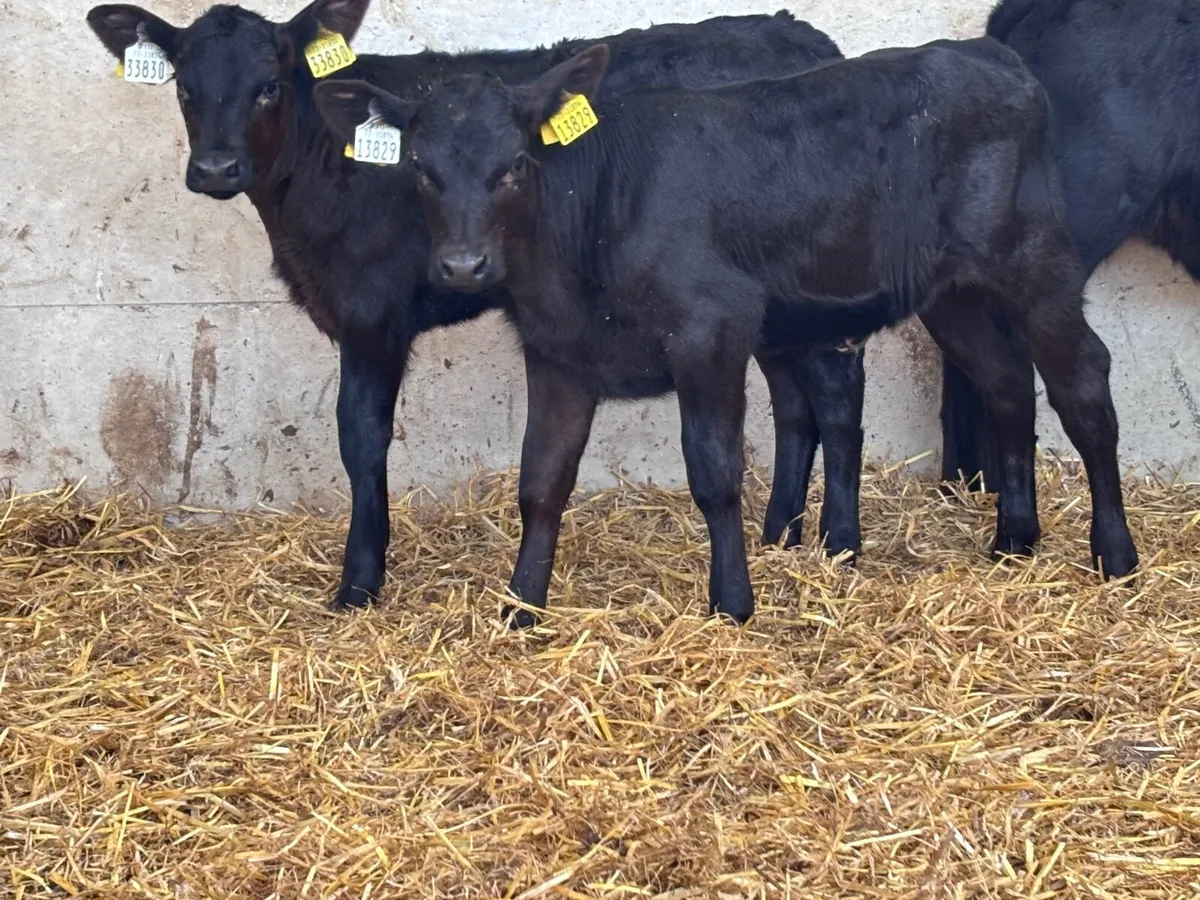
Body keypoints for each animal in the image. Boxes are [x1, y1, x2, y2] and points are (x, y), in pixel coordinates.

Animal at [86, 0, 860, 611]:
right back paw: (781, 535)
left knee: (836, 397)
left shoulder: (373, 309)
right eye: (185, 87)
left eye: (269, 86)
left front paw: (359, 581)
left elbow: (360, 436)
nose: (216, 168)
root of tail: (798, 31)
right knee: (795, 402)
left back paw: (840, 544)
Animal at [313, 36, 1140, 628]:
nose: (463, 264)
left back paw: (1116, 554)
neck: (594, 215)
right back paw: (1014, 540)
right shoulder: (558, 352)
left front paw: (732, 604)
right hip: (954, 293)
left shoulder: (709, 331)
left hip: (1035, 260)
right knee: (1007, 384)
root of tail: (990, 55)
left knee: (1083, 383)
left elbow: (713, 472)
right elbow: (540, 480)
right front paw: (521, 607)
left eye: (516, 162)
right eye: (422, 168)